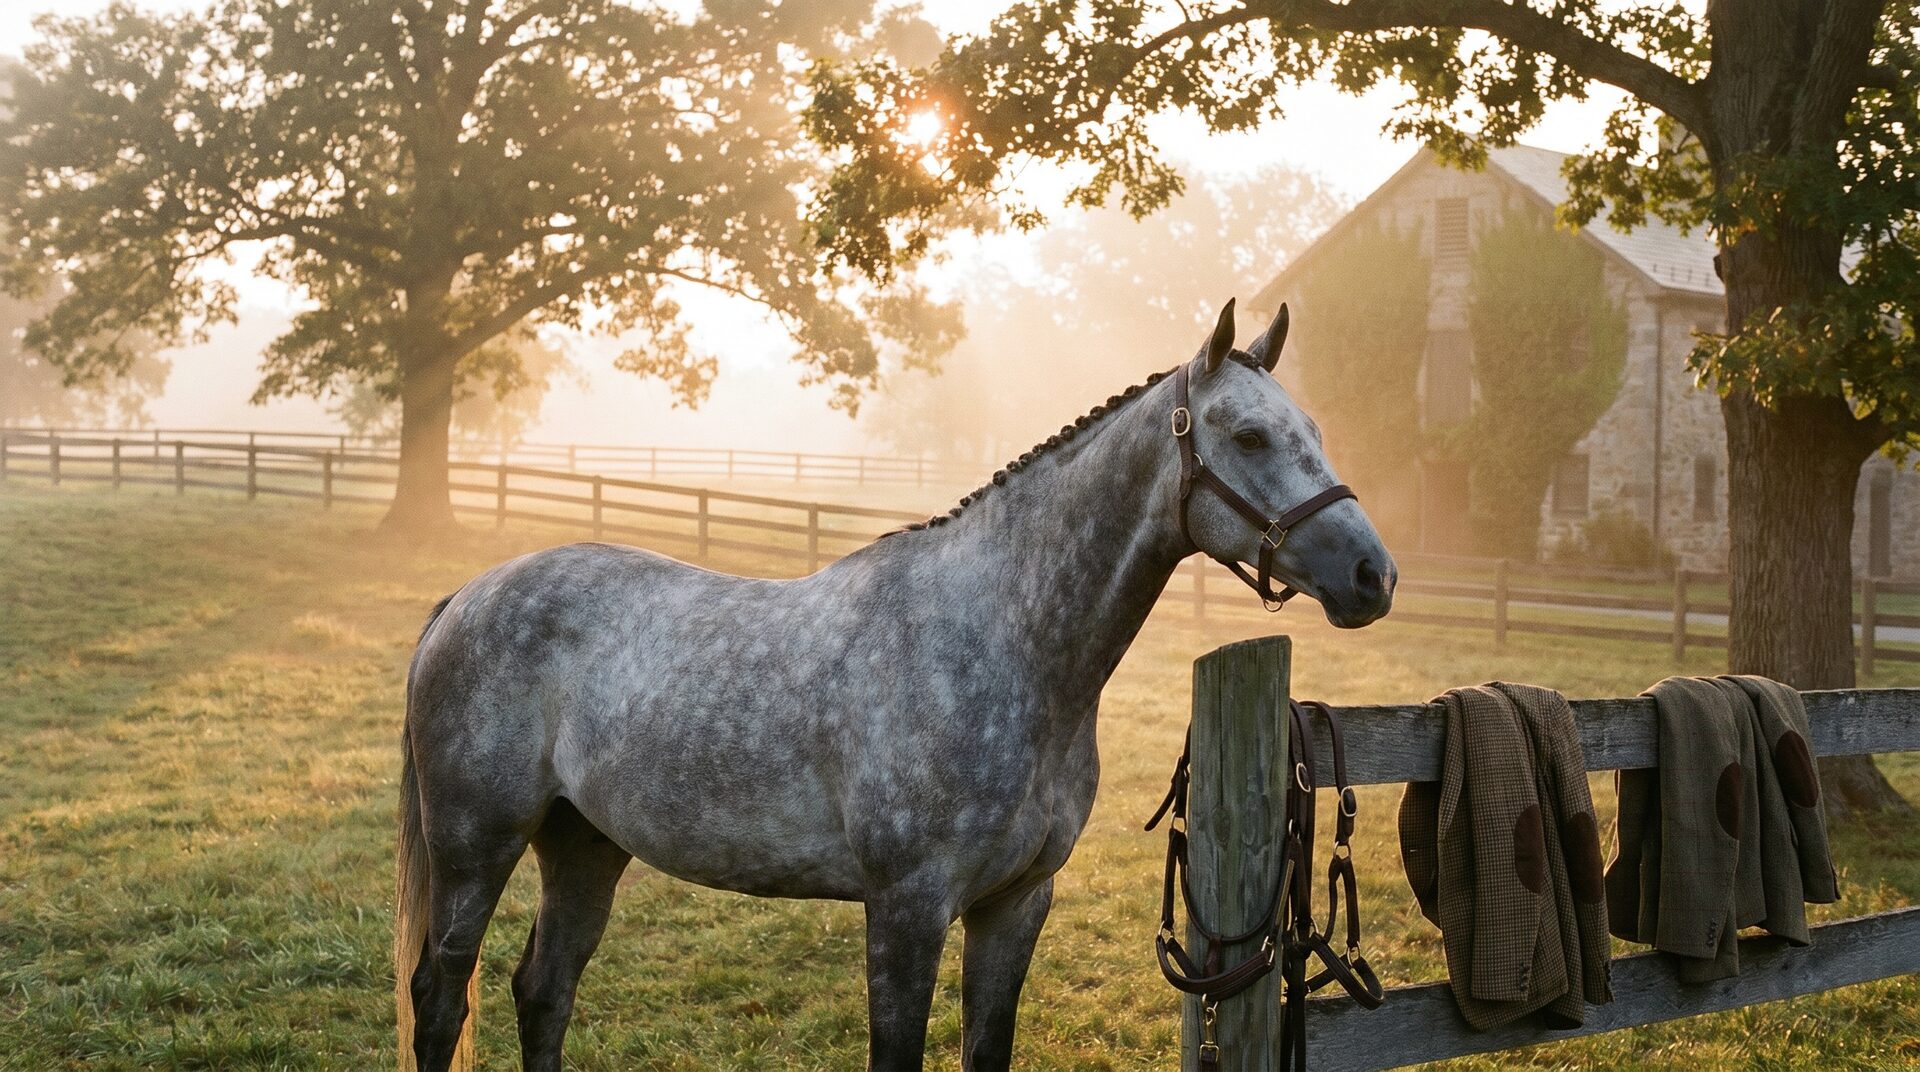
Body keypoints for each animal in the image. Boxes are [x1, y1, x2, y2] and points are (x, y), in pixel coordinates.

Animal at [394, 299, 1396, 1072]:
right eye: (1251, 435)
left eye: (1313, 431)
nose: (1372, 576)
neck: (1002, 643)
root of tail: (464, 600)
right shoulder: (907, 911)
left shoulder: (1014, 906)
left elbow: (985, 1049)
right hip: (477, 846)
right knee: (441, 997)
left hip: (585, 845)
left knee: (543, 991)